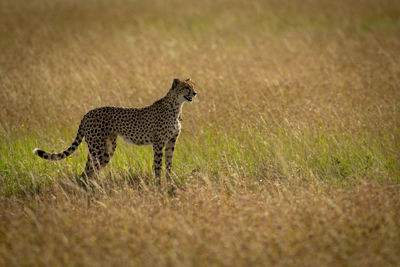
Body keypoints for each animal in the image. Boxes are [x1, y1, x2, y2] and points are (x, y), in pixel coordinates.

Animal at [33, 77, 198, 182]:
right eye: (186, 87)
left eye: (193, 86)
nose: (195, 93)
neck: (177, 106)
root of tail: (87, 113)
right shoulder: (158, 143)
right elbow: (158, 165)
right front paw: (158, 185)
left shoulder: (171, 141)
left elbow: (169, 164)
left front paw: (170, 182)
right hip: (97, 148)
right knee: (88, 170)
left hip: (108, 148)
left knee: (91, 171)